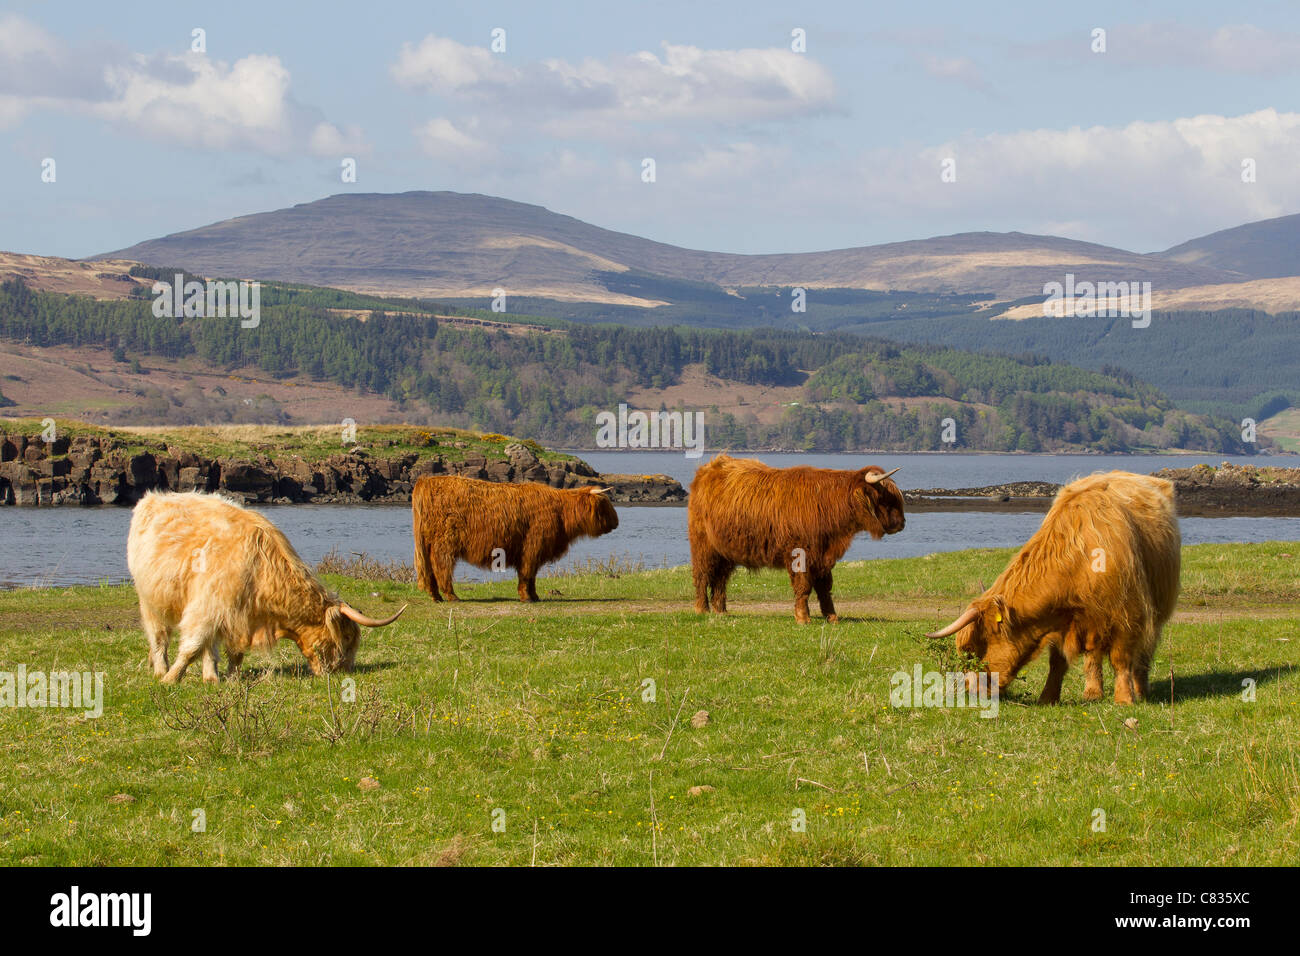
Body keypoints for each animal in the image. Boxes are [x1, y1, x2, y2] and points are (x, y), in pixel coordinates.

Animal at [125, 489, 405, 686]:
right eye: (346, 638)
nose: (342, 672)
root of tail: (153, 497)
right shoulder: (206, 607)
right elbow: (192, 646)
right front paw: (171, 679)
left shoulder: (236, 616)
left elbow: (233, 652)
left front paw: (230, 678)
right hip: (150, 600)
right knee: (159, 637)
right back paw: (161, 670)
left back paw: (210, 677)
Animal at [416, 476, 618, 600]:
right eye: (605, 505)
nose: (616, 523)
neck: (561, 511)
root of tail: (427, 482)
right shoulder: (533, 546)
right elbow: (527, 573)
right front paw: (526, 597)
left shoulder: (535, 550)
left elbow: (532, 575)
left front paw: (535, 596)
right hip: (444, 544)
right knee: (441, 567)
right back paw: (451, 596)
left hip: (429, 545)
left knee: (430, 570)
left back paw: (436, 597)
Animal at [691, 455, 904, 624]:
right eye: (886, 499)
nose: (902, 523)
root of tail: (711, 466)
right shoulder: (799, 554)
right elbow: (803, 586)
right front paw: (803, 617)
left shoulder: (822, 557)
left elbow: (824, 588)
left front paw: (832, 617)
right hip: (703, 546)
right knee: (702, 575)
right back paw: (702, 609)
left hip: (724, 552)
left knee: (720, 580)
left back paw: (721, 611)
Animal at [925, 470, 1180, 702]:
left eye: (971, 652)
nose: (971, 693)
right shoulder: (1063, 621)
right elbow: (1058, 662)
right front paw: (1047, 697)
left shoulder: (1127, 615)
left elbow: (1121, 658)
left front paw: (1125, 699)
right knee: (1093, 654)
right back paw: (1092, 693)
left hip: (1157, 609)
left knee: (1143, 653)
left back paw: (1141, 690)